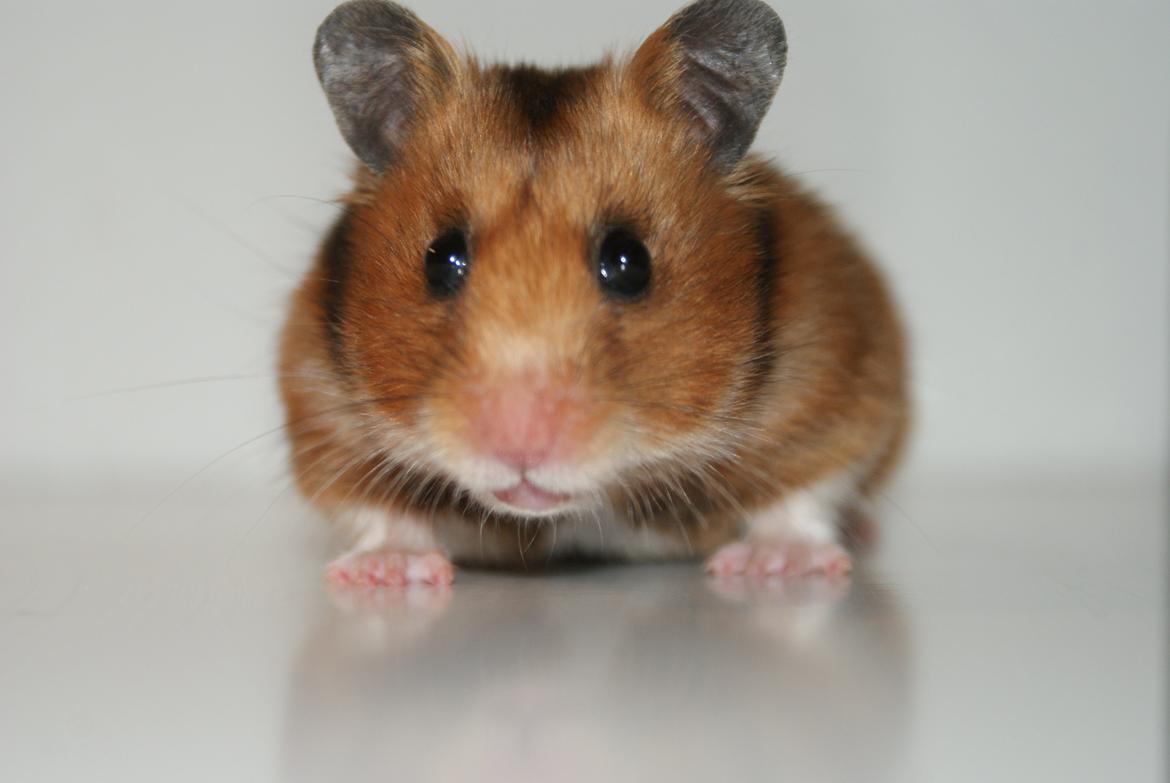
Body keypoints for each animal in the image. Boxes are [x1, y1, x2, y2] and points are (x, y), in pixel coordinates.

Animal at [279, 0, 909, 586]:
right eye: (440, 259)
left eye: (629, 262)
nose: (520, 446)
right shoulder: (320, 412)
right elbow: (377, 509)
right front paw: (383, 573)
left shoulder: (835, 386)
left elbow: (802, 492)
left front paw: (774, 566)